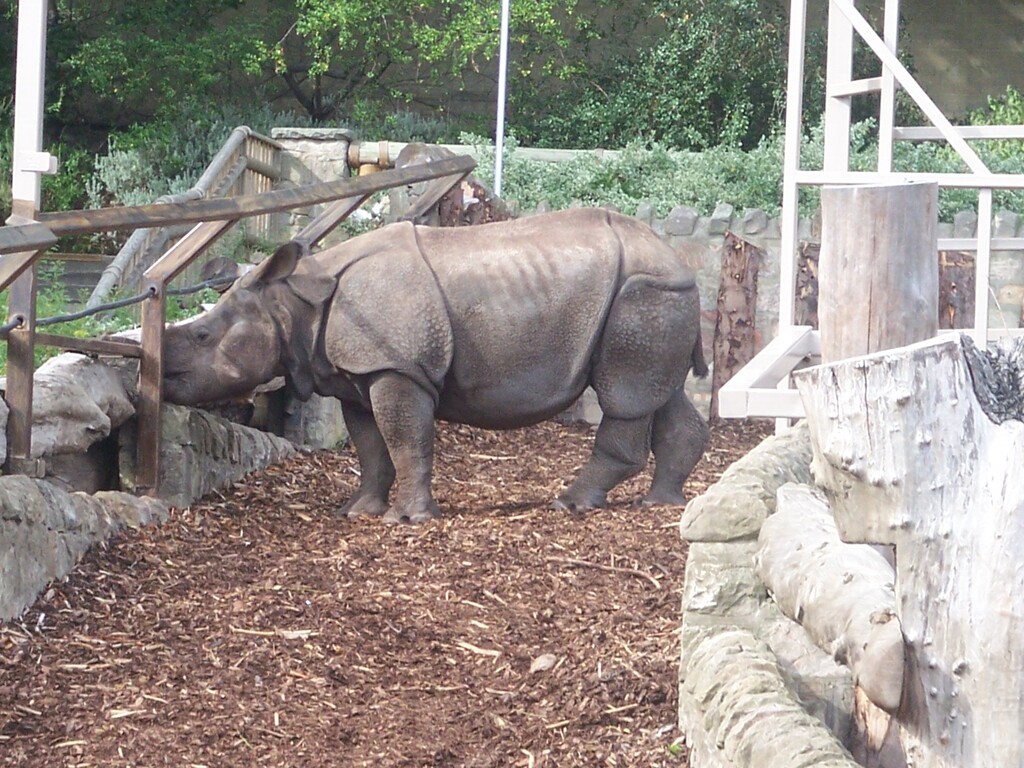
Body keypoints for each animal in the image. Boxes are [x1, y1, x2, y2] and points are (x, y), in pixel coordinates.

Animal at [162, 208, 709, 523]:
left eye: (202, 335)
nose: (161, 376)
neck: (294, 303)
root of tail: (680, 257)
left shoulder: (396, 366)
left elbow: (406, 440)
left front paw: (408, 521)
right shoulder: (355, 374)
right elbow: (371, 449)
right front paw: (357, 513)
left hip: (643, 294)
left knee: (624, 394)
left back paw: (570, 504)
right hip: (661, 298)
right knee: (659, 392)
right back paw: (662, 504)